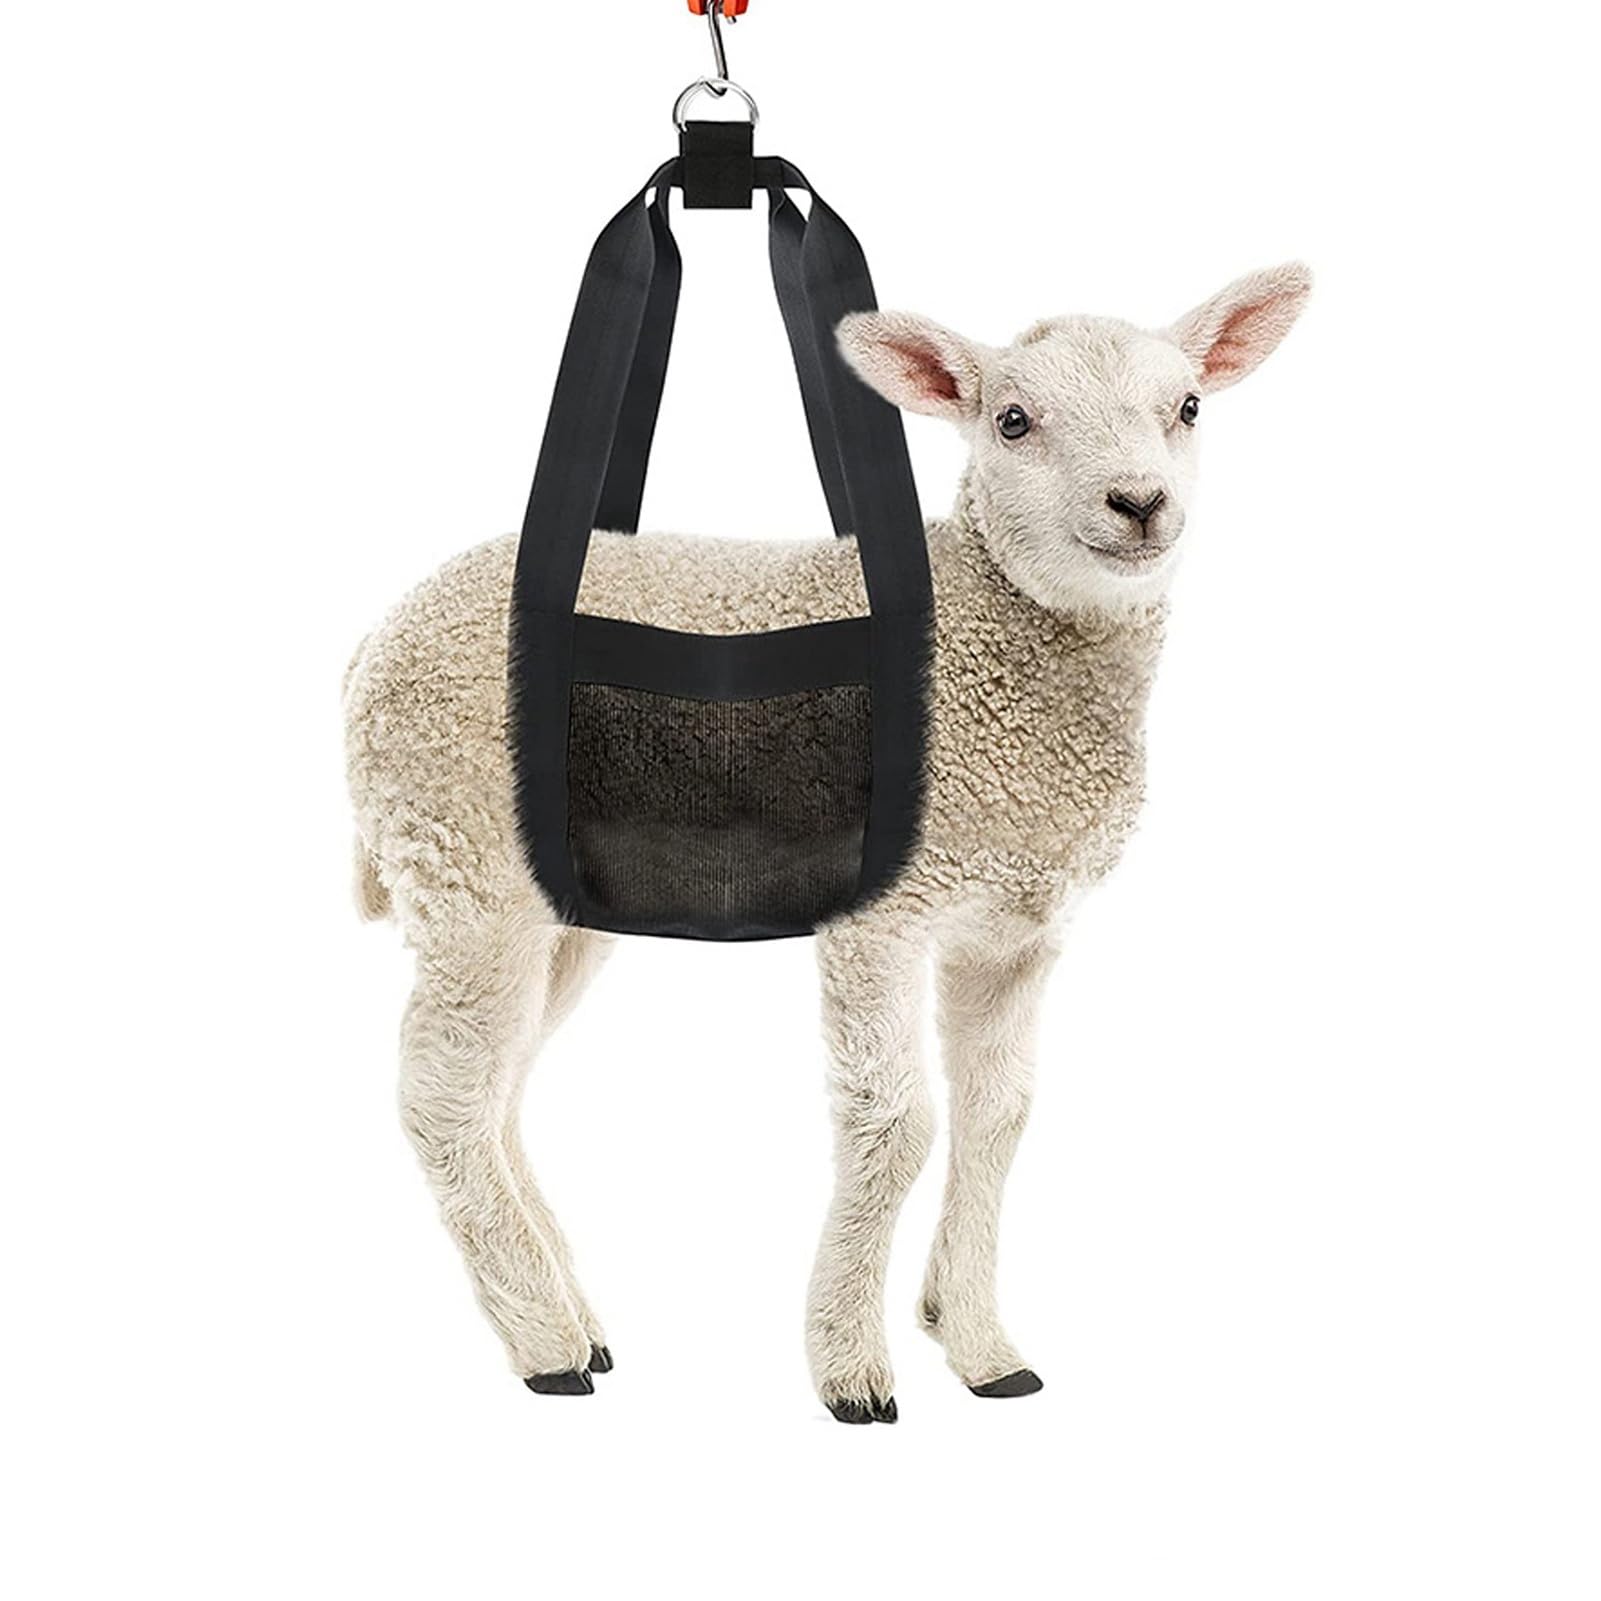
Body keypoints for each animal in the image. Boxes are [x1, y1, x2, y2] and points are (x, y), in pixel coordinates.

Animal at [344, 262, 1312, 1422]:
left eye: (1189, 407)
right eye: (1012, 419)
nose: (1138, 503)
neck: (1005, 656)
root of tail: (374, 643)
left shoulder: (1014, 928)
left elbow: (997, 1117)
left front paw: (979, 1343)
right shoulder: (881, 915)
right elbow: (897, 1126)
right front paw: (851, 1365)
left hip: (551, 898)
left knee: (501, 1082)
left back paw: (573, 1317)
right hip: (463, 854)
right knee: (442, 1090)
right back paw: (545, 1344)